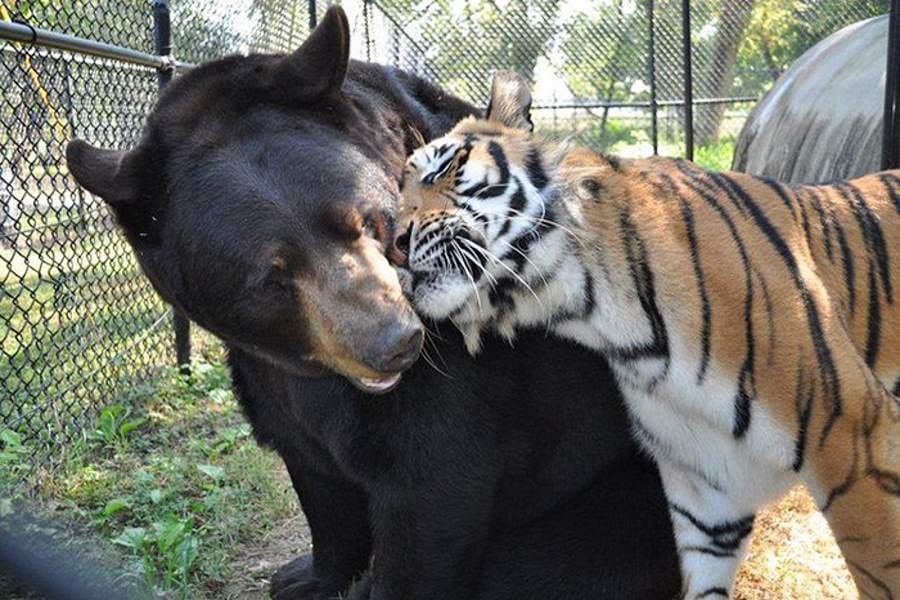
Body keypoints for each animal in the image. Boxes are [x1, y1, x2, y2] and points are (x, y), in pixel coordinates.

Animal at [394, 70, 900, 599]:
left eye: (446, 170)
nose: (394, 244)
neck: (594, 312)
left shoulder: (855, 436)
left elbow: (882, 574)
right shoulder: (706, 494)